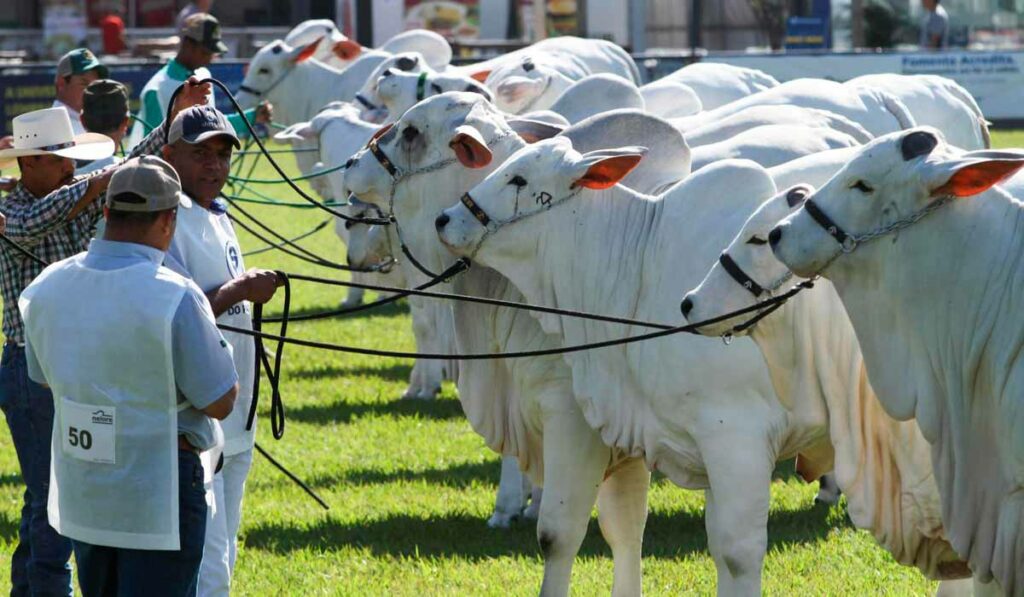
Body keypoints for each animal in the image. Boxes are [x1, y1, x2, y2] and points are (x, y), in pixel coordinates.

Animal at [432, 139, 847, 593]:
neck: (640, 272)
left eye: (519, 179)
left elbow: (736, 553)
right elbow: (631, 530)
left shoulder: (736, 438)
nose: (445, 218)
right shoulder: (631, 428)